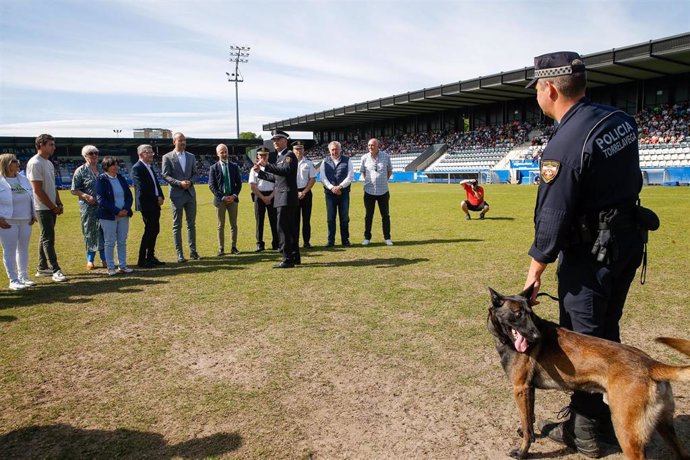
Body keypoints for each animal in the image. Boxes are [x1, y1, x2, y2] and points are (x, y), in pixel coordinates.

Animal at [484, 284, 688, 460]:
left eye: (531, 314)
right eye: (518, 314)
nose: (537, 336)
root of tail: (651, 363)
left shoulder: (520, 388)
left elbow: (527, 428)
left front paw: (522, 452)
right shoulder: (529, 389)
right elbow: (529, 418)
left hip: (626, 431)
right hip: (663, 424)